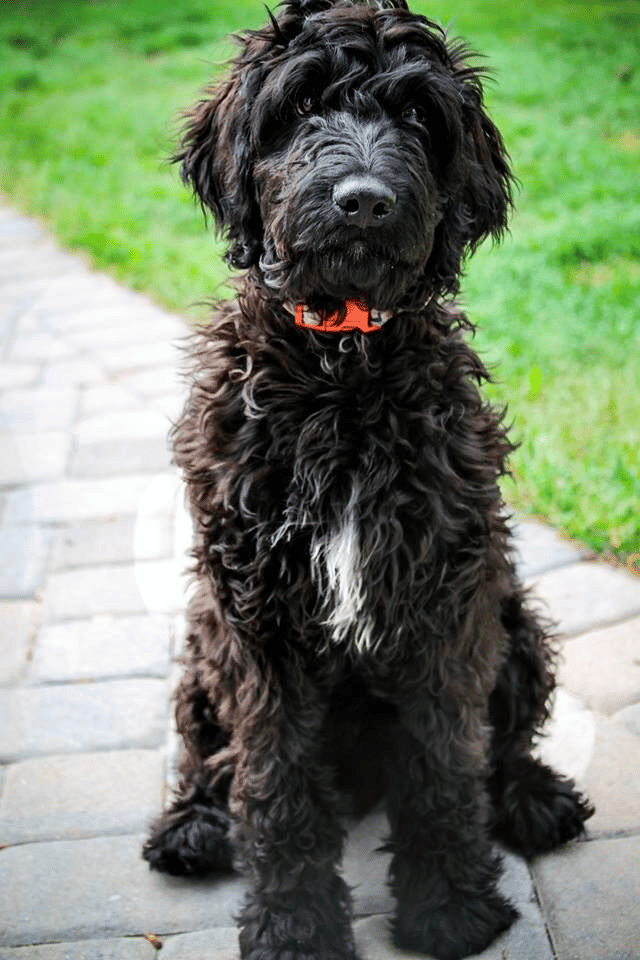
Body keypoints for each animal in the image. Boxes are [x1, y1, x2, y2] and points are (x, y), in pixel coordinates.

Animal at [145, 1, 596, 960]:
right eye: (301, 105)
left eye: (418, 116)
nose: (364, 199)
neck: (340, 368)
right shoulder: (258, 612)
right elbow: (274, 776)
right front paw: (292, 924)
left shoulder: (444, 592)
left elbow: (444, 763)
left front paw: (449, 907)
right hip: (203, 640)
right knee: (209, 757)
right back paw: (194, 825)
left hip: (515, 620)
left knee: (504, 745)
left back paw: (533, 798)